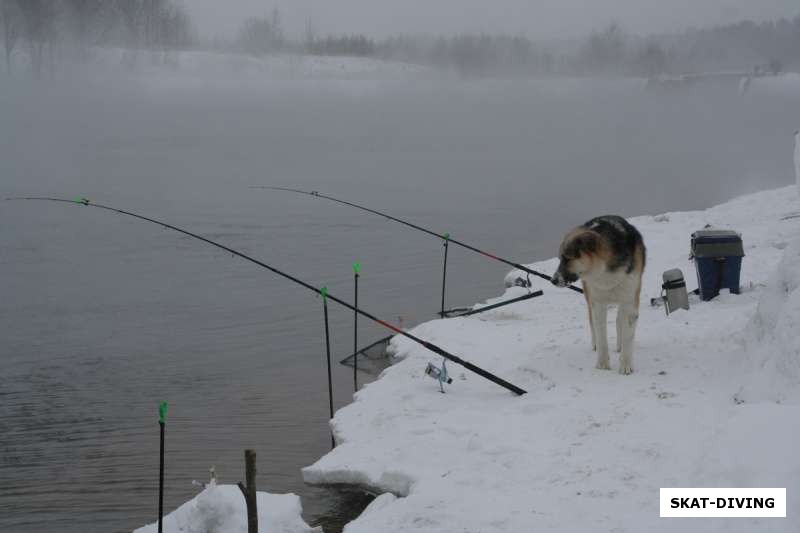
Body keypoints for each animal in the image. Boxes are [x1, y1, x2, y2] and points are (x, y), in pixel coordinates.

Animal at [552, 216, 648, 374]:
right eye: (560, 258)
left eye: (567, 258)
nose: (552, 280)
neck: (604, 272)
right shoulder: (598, 303)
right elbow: (601, 334)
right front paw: (602, 364)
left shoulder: (630, 300)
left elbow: (627, 335)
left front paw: (625, 365)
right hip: (589, 296)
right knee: (593, 323)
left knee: (619, 320)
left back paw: (619, 345)